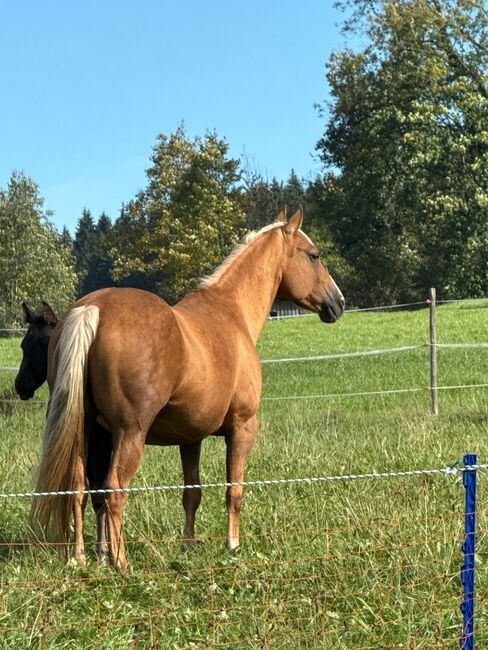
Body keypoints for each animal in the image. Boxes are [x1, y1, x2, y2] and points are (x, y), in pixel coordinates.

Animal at [30, 208, 345, 571]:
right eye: (314, 256)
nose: (338, 302)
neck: (232, 312)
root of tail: (93, 309)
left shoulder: (191, 438)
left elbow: (192, 493)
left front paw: (188, 548)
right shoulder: (242, 427)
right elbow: (234, 491)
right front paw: (232, 546)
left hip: (86, 430)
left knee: (79, 488)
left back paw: (81, 557)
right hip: (128, 434)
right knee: (114, 491)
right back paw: (121, 563)